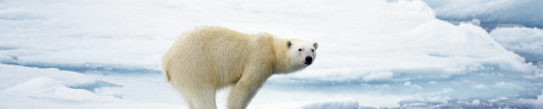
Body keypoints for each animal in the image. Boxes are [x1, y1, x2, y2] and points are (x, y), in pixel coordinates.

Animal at [159, 26, 316, 109]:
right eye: (300, 49)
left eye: (313, 50)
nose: (308, 58)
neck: (272, 48)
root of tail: (167, 60)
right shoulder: (259, 59)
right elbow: (245, 86)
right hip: (195, 66)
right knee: (202, 93)